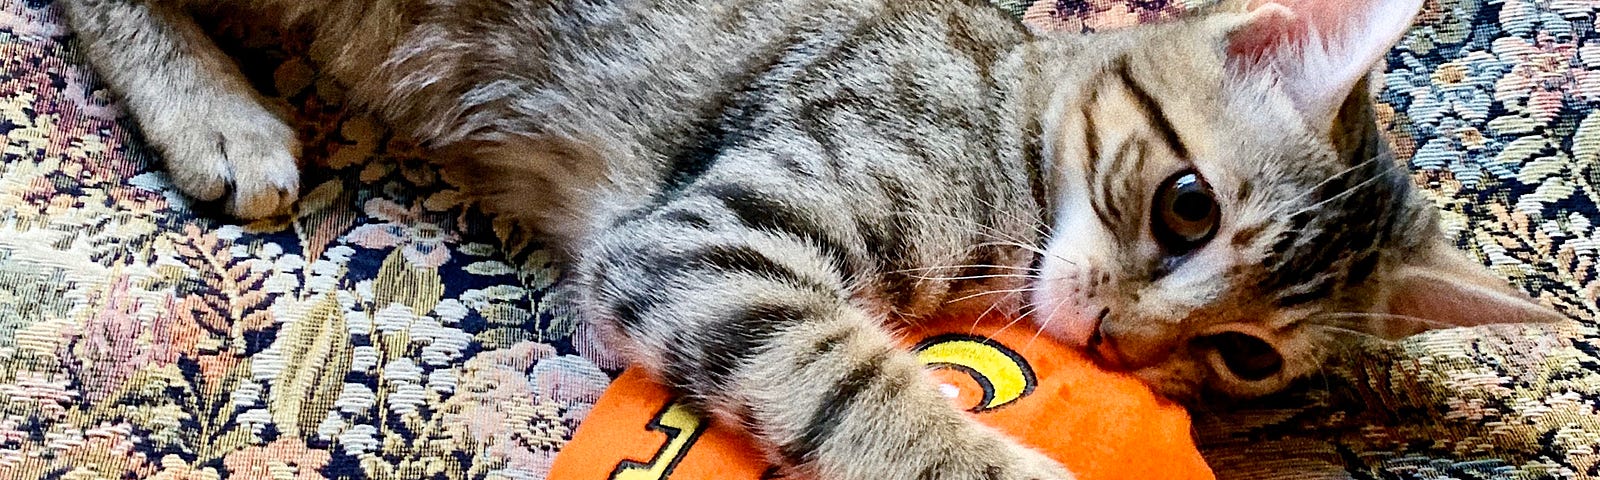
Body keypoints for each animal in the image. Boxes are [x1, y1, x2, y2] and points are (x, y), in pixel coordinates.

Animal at [62, 0, 1561, 476]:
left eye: (1248, 359)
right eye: (1185, 204)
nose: (1128, 340)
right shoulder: (702, 243)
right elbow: (862, 388)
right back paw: (215, 111)